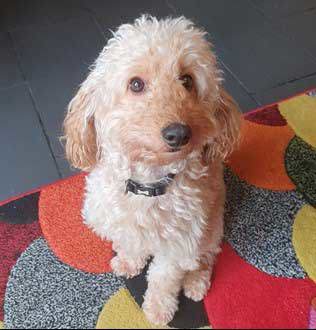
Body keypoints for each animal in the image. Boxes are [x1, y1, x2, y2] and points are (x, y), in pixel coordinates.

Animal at [63, 14, 241, 324]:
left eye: (187, 80)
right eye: (136, 84)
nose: (178, 133)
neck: (146, 185)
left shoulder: (178, 244)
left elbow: (164, 279)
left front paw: (158, 310)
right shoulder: (121, 224)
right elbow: (130, 244)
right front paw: (128, 261)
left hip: (211, 226)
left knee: (206, 256)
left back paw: (196, 281)